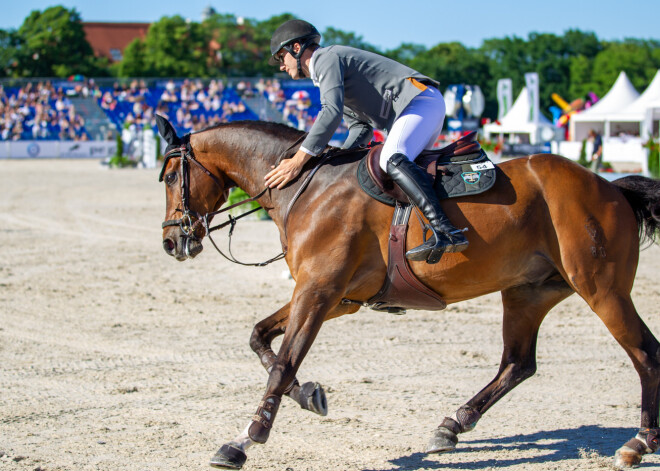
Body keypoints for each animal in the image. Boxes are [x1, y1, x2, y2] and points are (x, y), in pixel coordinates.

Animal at [157, 113, 660, 468]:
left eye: (169, 177)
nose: (171, 242)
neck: (306, 187)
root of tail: (611, 187)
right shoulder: (336, 298)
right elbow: (260, 338)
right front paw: (310, 396)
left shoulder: (318, 291)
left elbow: (281, 364)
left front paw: (244, 440)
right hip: (528, 292)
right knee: (517, 364)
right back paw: (452, 425)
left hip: (601, 289)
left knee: (645, 353)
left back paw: (638, 443)